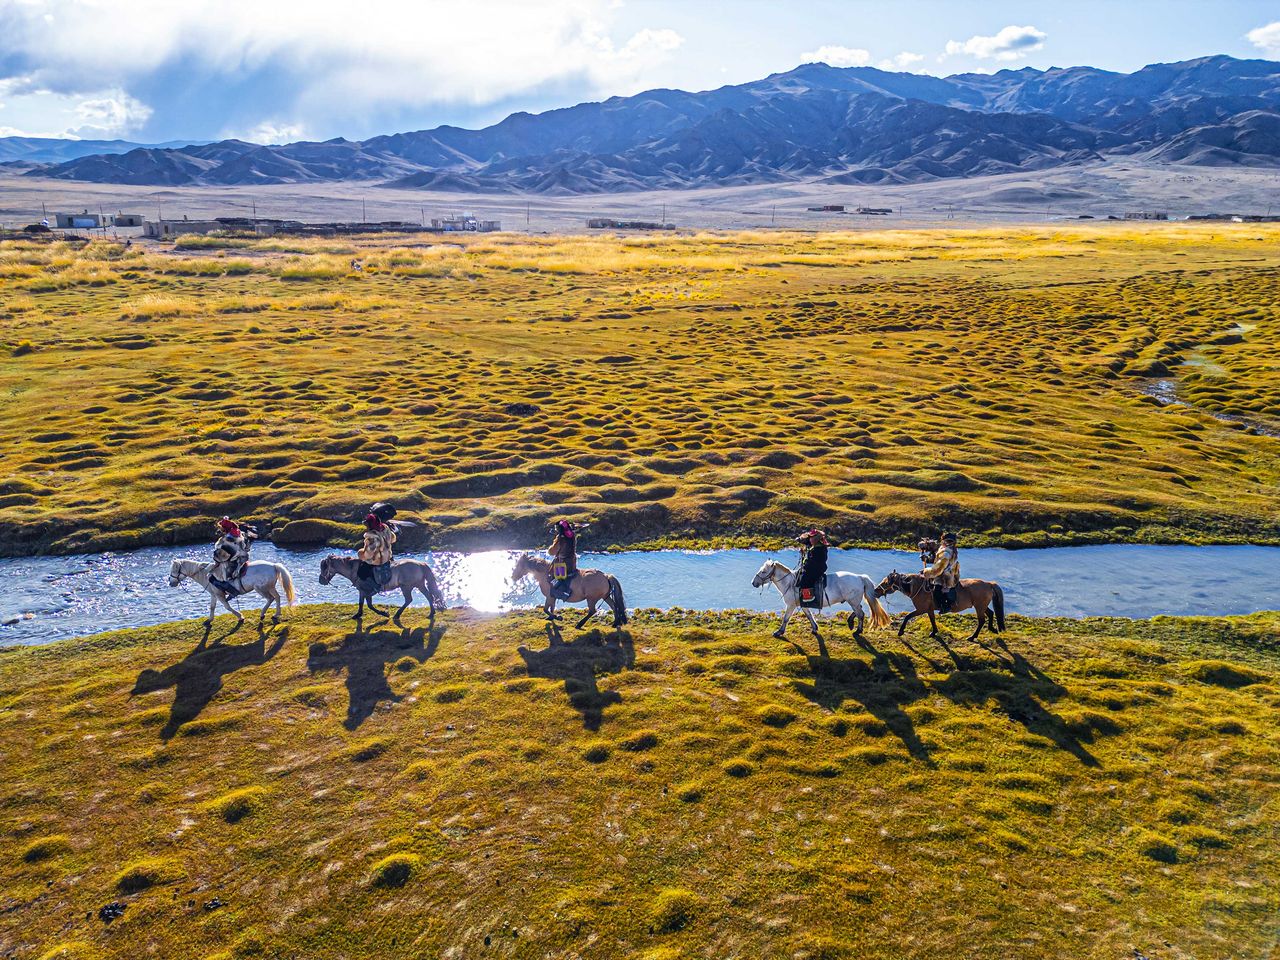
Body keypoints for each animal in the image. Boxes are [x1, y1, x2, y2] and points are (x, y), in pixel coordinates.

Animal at [751, 559, 892, 640]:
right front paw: (815, 628)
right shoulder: (802, 605)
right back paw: (851, 622)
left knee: (861, 614)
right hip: (853, 601)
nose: (754, 583)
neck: (790, 583)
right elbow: (809, 616)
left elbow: (786, 618)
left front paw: (779, 632)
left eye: (763, 571)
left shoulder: (791, 605)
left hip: (853, 601)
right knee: (859, 611)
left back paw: (858, 630)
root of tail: (860, 577)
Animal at [874, 571, 1005, 642]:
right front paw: (934, 632)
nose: (875, 591)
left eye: (886, 582)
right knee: (991, 613)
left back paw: (972, 637)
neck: (919, 588)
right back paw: (992, 629)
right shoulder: (929, 609)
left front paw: (901, 632)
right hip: (981, 606)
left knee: (981, 621)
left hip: (979, 607)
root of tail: (989, 584)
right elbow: (932, 620)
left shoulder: (921, 609)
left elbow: (907, 616)